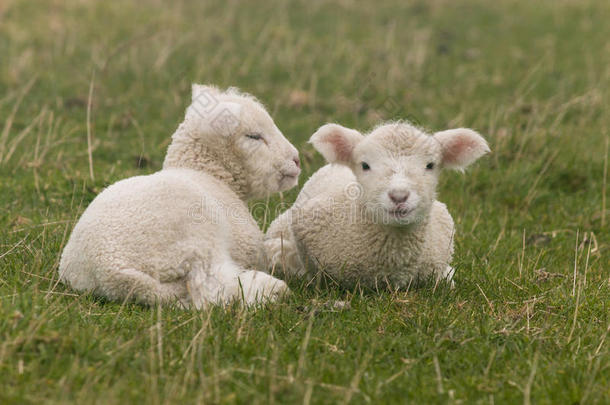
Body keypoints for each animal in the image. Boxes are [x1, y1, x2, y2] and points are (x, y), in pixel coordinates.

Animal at [58, 84, 300, 306]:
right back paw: (272, 290)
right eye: (254, 136)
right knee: (212, 287)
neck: (209, 175)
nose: (296, 159)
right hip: (195, 242)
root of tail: (109, 271)